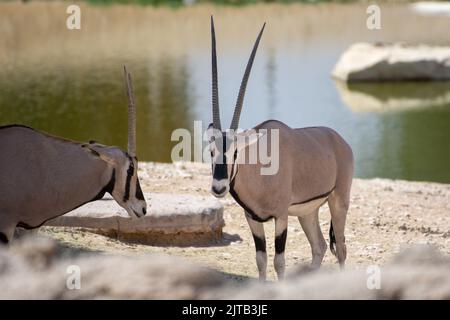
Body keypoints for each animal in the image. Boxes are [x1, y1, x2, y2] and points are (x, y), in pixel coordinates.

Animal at [207, 17, 356, 280]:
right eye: (211, 151)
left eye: (235, 152)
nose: (219, 187)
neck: (259, 168)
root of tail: (339, 141)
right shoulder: (252, 218)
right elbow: (261, 259)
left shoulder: (281, 216)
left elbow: (279, 261)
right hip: (308, 213)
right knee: (319, 246)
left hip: (339, 202)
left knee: (341, 247)